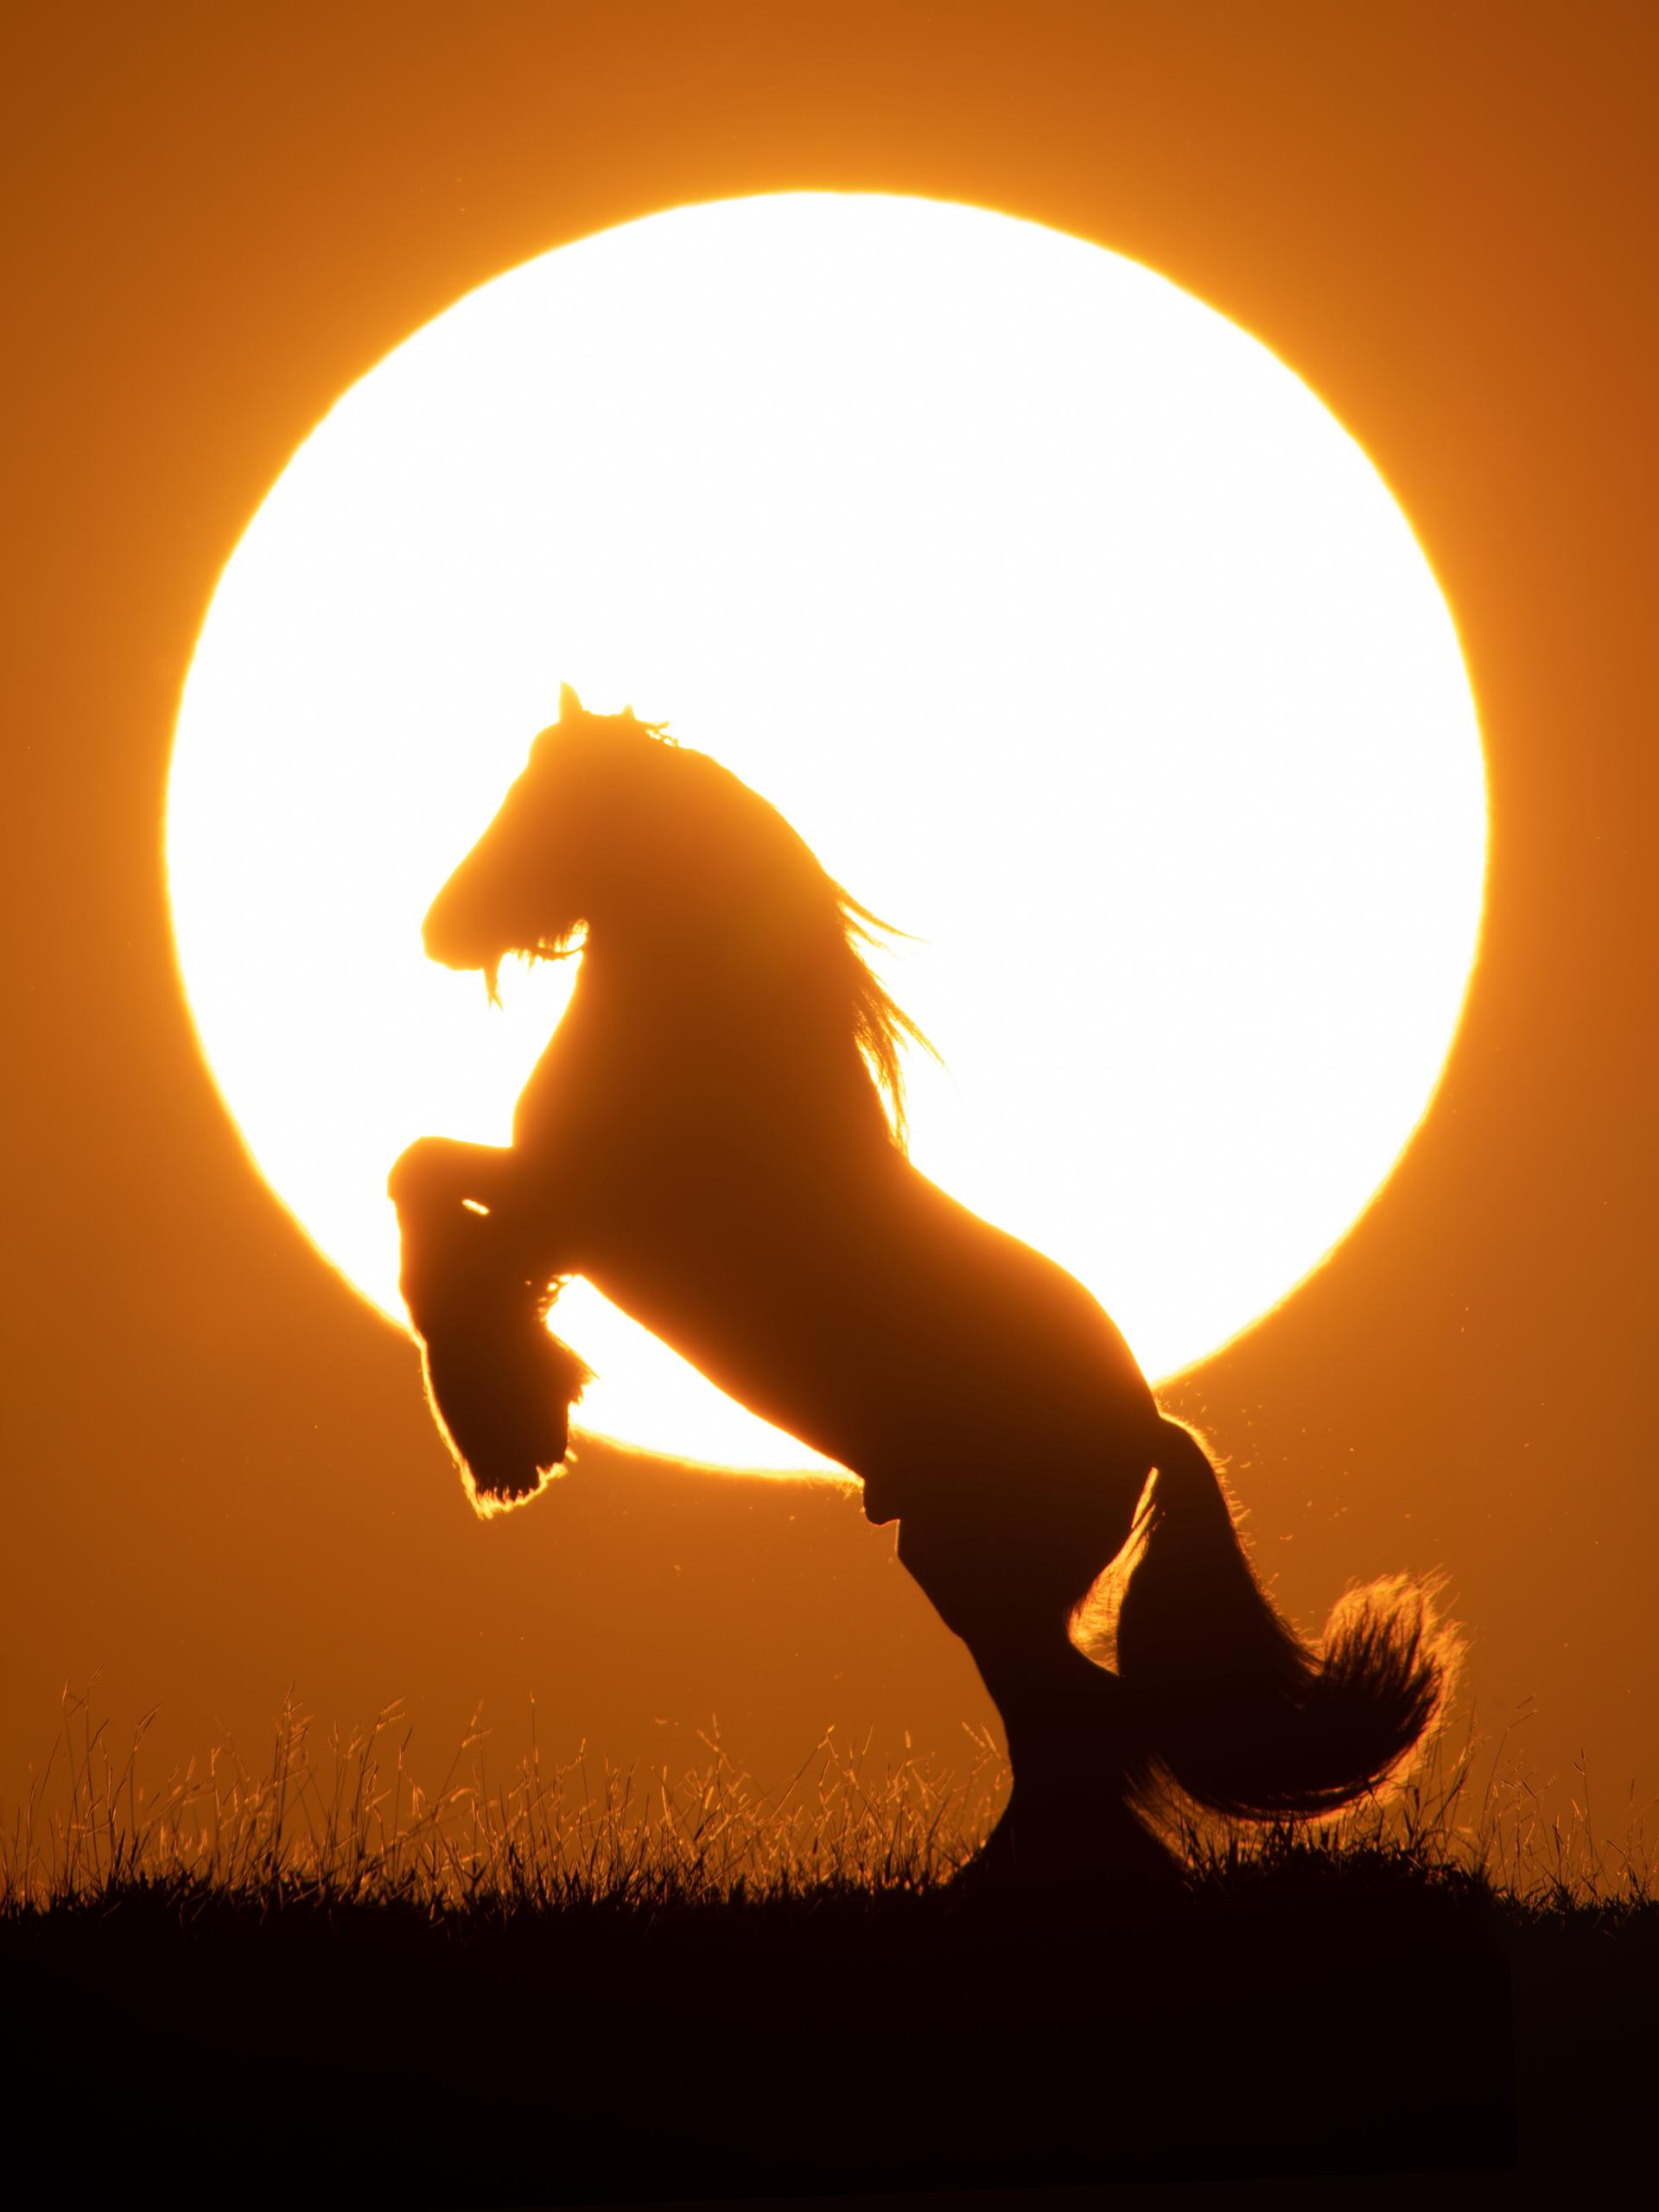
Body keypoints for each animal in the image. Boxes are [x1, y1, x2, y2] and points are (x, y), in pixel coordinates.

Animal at [389, 686, 1451, 1886]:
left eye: (553, 806)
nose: (440, 931)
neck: (710, 1038)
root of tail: (1147, 1426)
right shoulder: (563, 1209)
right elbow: (430, 1182)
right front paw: (524, 1409)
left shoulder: (586, 1211)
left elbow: (429, 1193)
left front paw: (509, 1424)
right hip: (959, 1566)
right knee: (1065, 1718)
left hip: (978, 1568)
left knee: (1077, 1716)